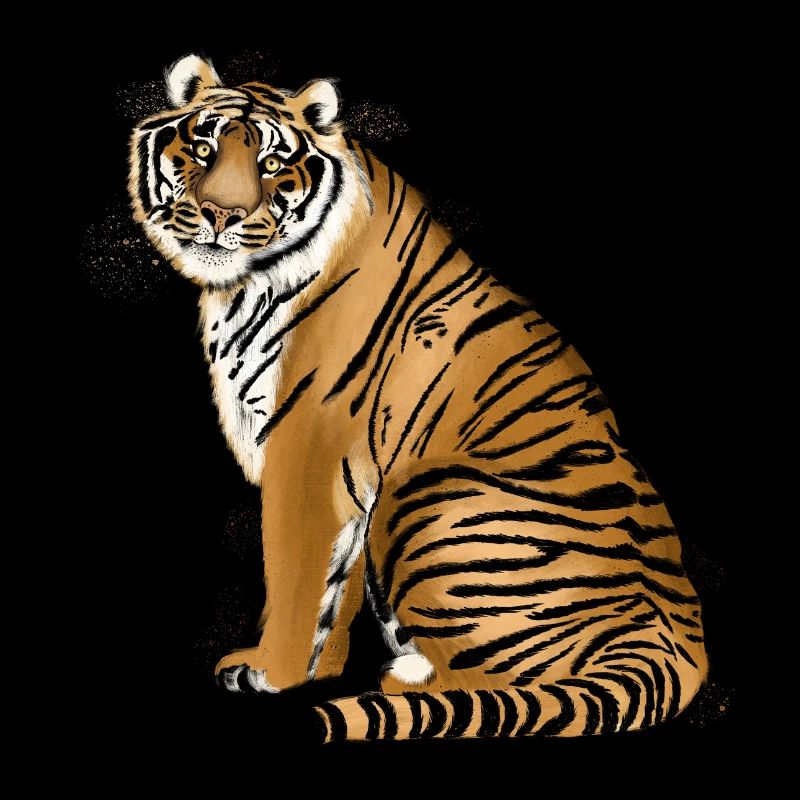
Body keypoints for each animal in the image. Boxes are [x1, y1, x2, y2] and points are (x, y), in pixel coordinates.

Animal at [128, 54, 707, 742]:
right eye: (203, 147)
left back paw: (403, 676)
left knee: (504, 687)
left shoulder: (307, 447)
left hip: (425, 491)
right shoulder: (345, 483)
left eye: (270, 163)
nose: (220, 214)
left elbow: (295, 572)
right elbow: (332, 587)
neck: (242, 287)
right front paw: (317, 670)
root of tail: (676, 631)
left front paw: (274, 674)